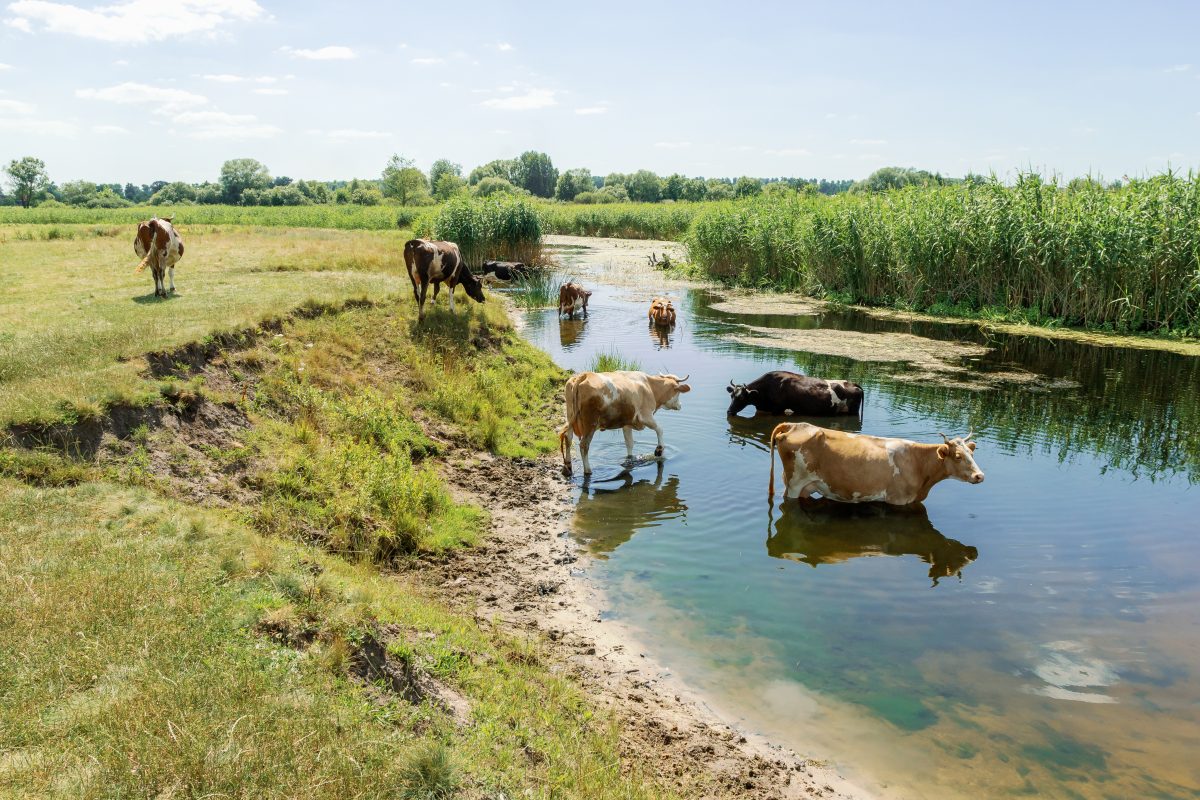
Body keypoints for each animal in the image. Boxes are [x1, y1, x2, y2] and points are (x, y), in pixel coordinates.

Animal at [561, 371, 696, 474]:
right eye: (678, 393)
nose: (680, 405)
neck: (650, 387)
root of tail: (584, 375)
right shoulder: (645, 416)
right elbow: (660, 429)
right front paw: (659, 450)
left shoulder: (627, 424)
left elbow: (629, 443)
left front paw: (630, 459)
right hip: (590, 424)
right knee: (584, 445)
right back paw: (588, 471)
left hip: (570, 417)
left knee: (568, 438)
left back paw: (568, 466)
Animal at [720, 371, 864, 419]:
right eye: (731, 396)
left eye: (741, 397)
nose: (729, 411)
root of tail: (853, 383)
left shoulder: (777, 410)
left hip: (853, 411)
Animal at [768, 424, 984, 506]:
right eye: (958, 456)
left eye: (972, 453)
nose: (979, 476)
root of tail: (796, 425)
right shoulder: (897, 501)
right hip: (795, 483)